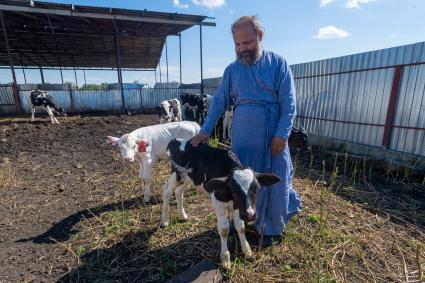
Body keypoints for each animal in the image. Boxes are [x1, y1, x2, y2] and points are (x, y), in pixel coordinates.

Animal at [164, 139, 280, 270]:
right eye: (234, 190)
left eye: (257, 189)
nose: (250, 215)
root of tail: (177, 140)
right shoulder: (217, 201)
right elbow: (224, 229)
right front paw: (225, 259)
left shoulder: (238, 206)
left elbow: (240, 226)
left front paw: (247, 251)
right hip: (176, 174)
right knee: (167, 193)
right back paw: (165, 220)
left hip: (190, 178)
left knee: (179, 192)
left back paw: (182, 216)